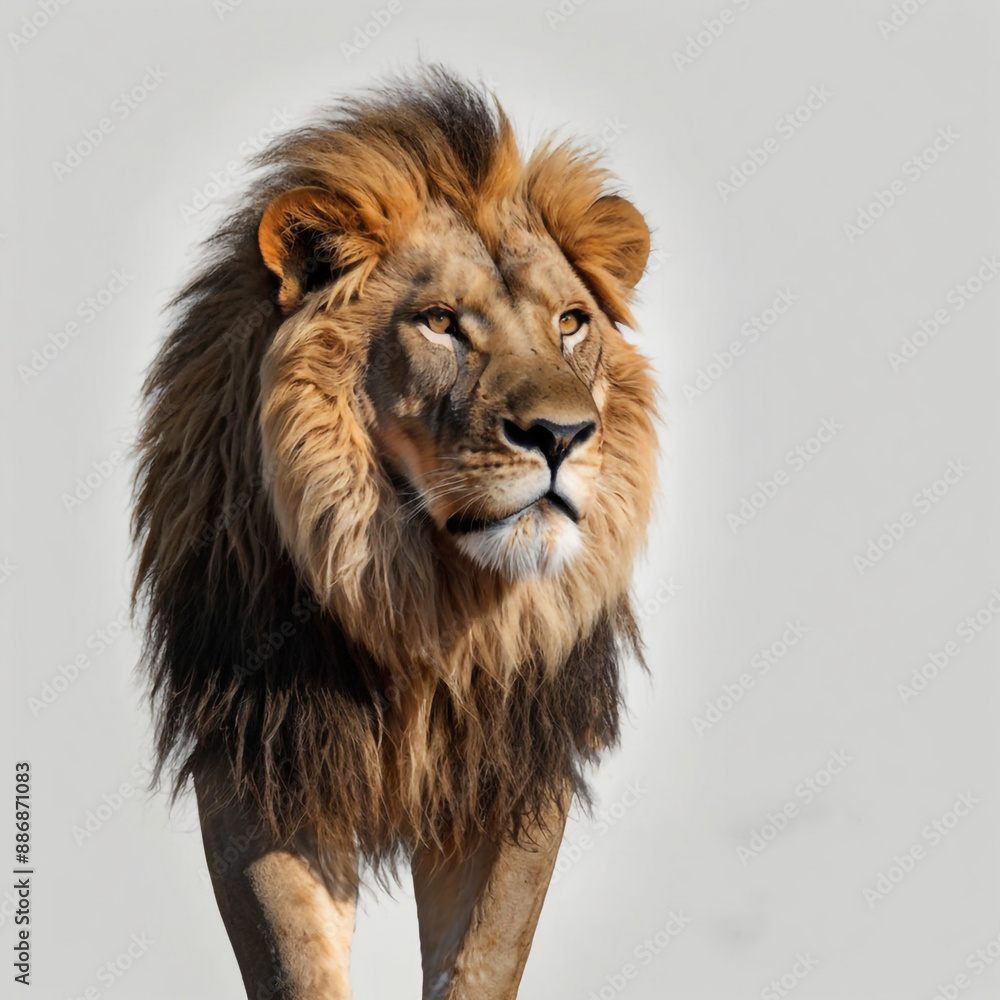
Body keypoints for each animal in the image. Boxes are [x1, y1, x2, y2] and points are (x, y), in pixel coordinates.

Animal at [132, 68, 658, 1000]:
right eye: (441, 321)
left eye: (570, 322)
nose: (562, 435)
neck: (422, 598)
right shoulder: (262, 755)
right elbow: (295, 963)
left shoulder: (511, 771)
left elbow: (482, 960)